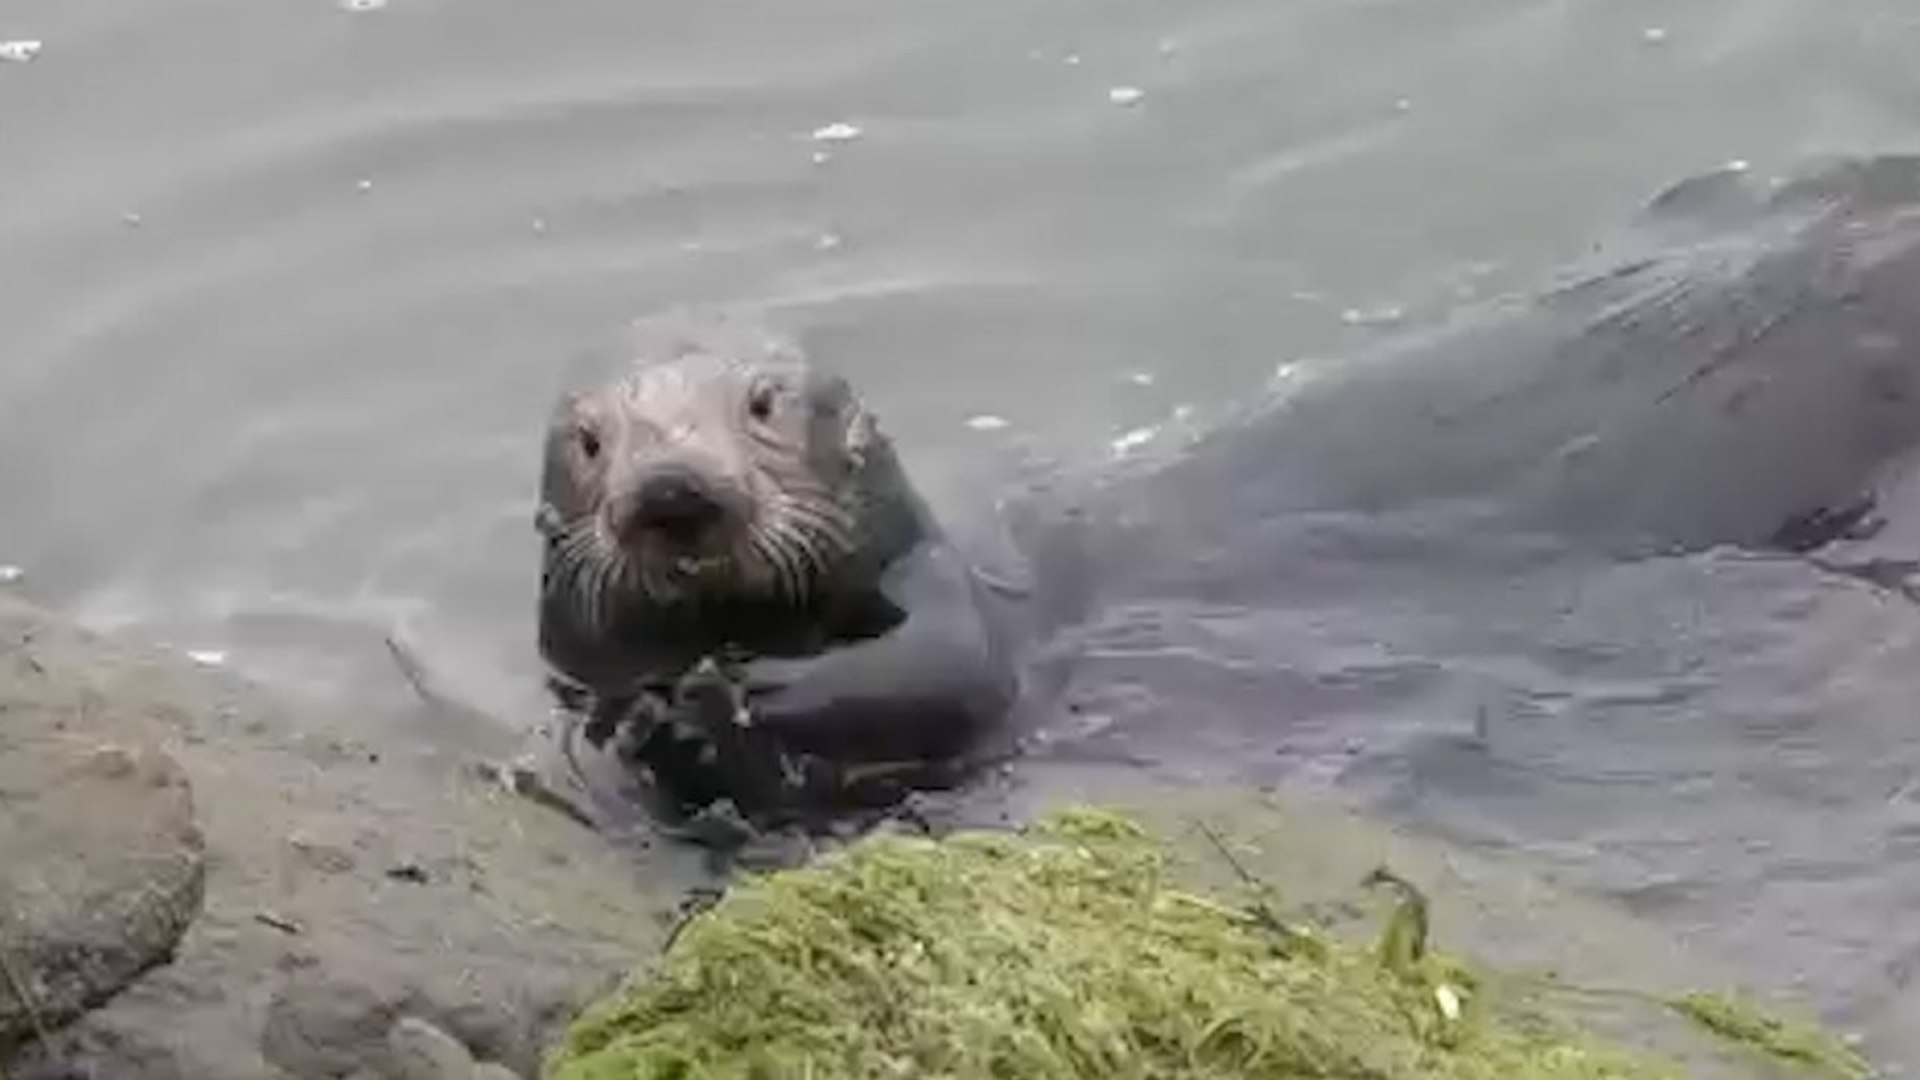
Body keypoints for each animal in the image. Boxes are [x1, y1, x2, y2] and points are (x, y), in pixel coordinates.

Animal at [533, 322, 1019, 835]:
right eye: (589, 439)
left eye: (762, 404)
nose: (669, 485)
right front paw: (655, 715)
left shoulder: (923, 569)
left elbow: (950, 658)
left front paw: (735, 688)